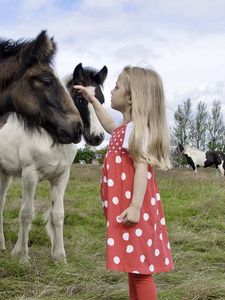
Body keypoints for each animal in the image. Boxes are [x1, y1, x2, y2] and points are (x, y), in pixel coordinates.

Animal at [0, 31, 107, 262]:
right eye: (80, 99)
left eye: (102, 100)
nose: (96, 137)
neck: (53, 140)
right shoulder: (29, 175)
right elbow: (26, 213)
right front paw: (22, 255)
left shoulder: (61, 177)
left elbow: (58, 214)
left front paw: (59, 256)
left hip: (5, 173)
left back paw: (1, 245)